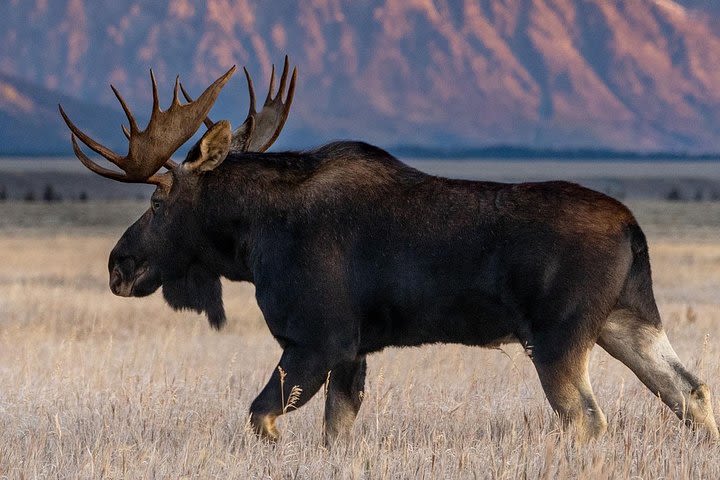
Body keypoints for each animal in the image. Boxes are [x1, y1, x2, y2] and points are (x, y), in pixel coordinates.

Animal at [59, 58, 716, 444]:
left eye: (157, 200)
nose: (119, 265)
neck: (250, 240)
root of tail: (634, 229)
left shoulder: (316, 341)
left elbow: (261, 418)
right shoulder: (354, 352)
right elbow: (336, 435)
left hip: (559, 337)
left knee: (588, 419)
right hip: (627, 321)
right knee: (690, 391)